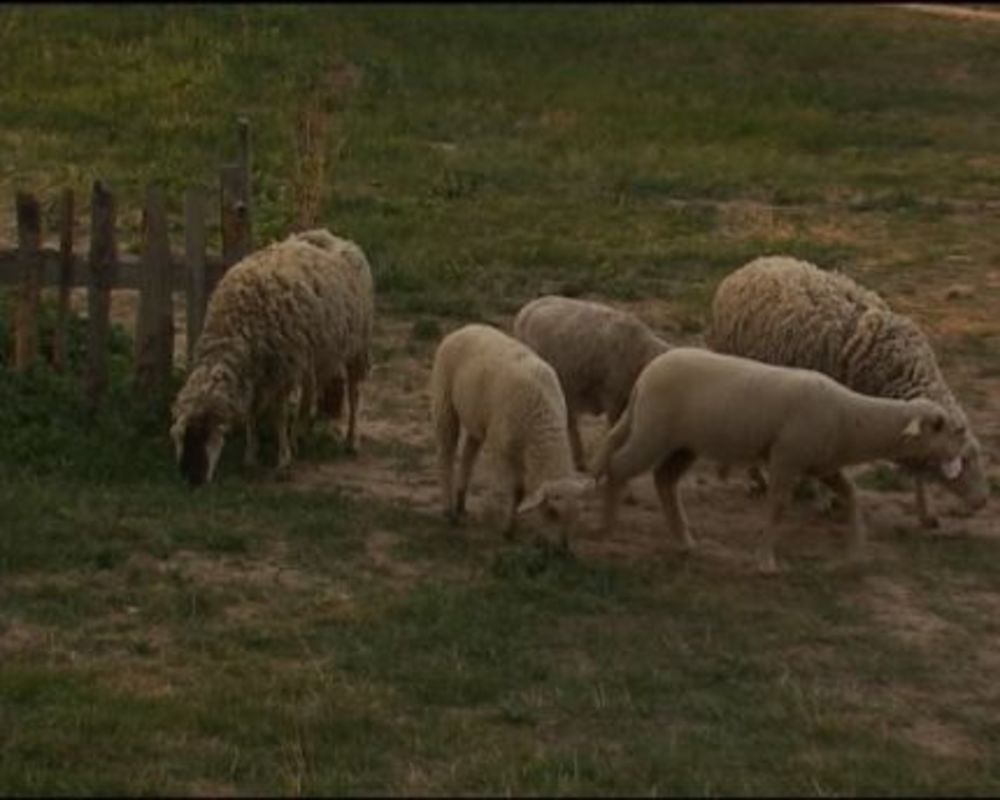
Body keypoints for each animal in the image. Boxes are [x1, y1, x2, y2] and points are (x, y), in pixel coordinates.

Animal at [172, 228, 376, 484]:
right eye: (180, 438)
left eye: (204, 436)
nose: (192, 482)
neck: (233, 329)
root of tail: (334, 236)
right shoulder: (258, 374)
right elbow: (251, 414)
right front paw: (251, 456)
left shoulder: (282, 369)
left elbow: (279, 416)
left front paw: (282, 460)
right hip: (312, 352)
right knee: (309, 392)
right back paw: (301, 434)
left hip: (357, 344)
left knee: (354, 392)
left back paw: (351, 441)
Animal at [428, 324, 592, 552]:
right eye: (552, 512)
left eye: (577, 514)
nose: (562, 552)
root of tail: (465, 328)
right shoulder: (504, 451)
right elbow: (516, 491)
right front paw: (506, 529)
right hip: (444, 397)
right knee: (446, 451)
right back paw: (449, 510)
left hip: (478, 416)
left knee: (469, 453)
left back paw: (461, 503)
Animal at [592, 346, 968, 572]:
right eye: (944, 427)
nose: (962, 450)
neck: (849, 418)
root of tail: (644, 377)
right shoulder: (787, 457)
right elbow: (779, 507)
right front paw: (765, 560)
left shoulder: (822, 464)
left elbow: (851, 494)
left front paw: (856, 551)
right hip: (653, 432)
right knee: (618, 466)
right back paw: (607, 527)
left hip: (683, 444)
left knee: (664, 480)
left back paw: (685, 541)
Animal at [708, 250, 988, 524]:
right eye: (965, 460)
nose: (983, 502)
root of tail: (751, 265)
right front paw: (823, 499)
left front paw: (926, 513)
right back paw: (755, 480)